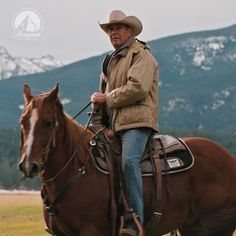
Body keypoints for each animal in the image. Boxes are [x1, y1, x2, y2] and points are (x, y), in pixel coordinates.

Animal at [18, 84, 236, 235]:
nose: (29, 164)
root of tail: (230, 159)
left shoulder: (91, 230)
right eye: (23, 122)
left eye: (48, 123)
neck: (78, 168)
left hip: (212, 228)